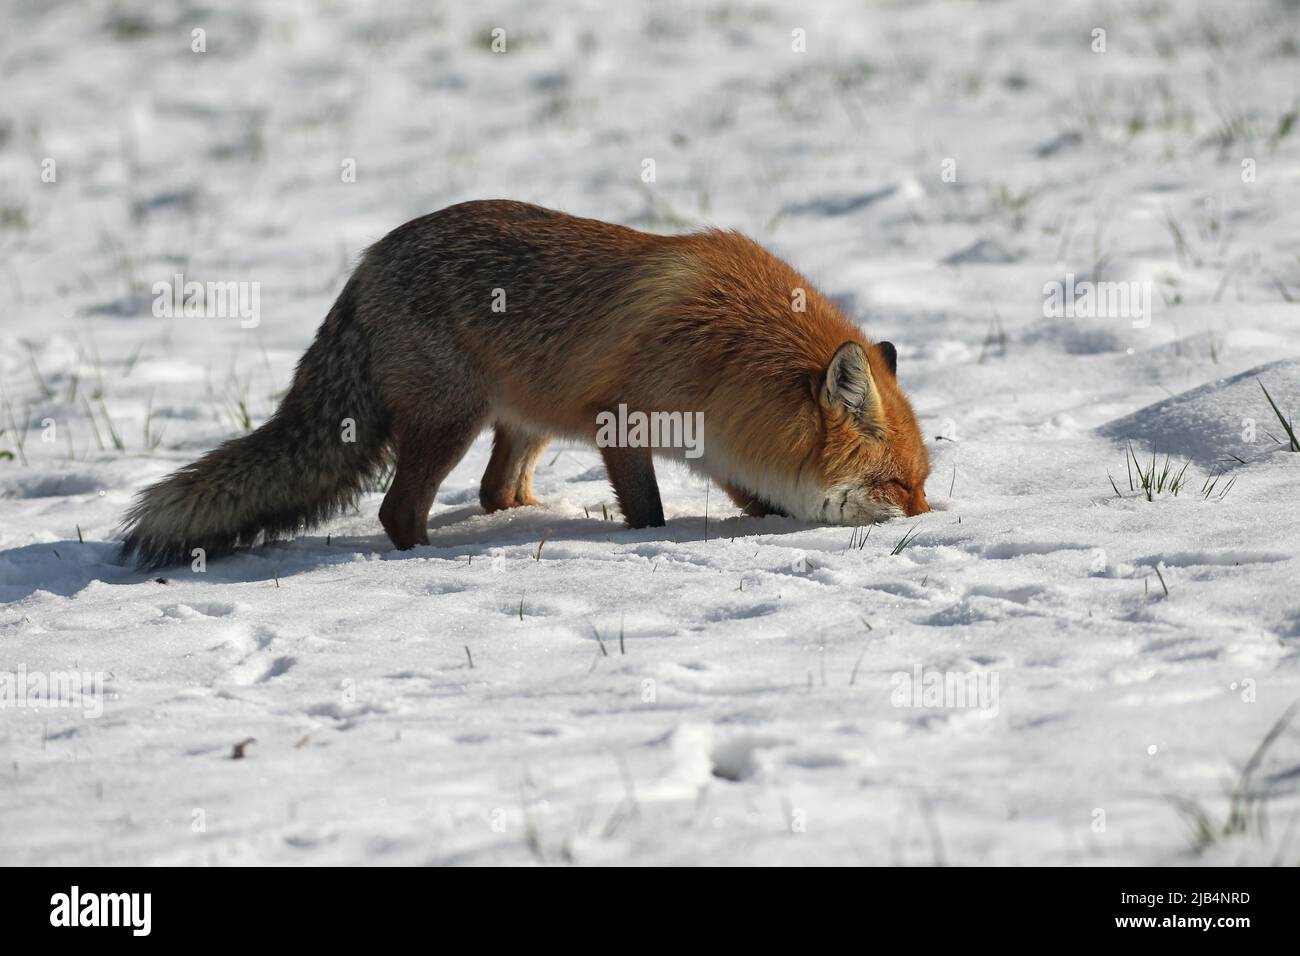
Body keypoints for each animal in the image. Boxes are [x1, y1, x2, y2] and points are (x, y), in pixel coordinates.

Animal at [122, 201, 930, 567]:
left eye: (924, 483)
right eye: (896, 484)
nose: (931, 523)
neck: (729, 348)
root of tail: (367, 261)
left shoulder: (724, 444)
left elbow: (755, 494)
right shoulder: (621, 421)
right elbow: (649, 513)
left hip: (527, 420)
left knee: (493, 492)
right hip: (452, 420)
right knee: (397, 510)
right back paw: (424, 561)